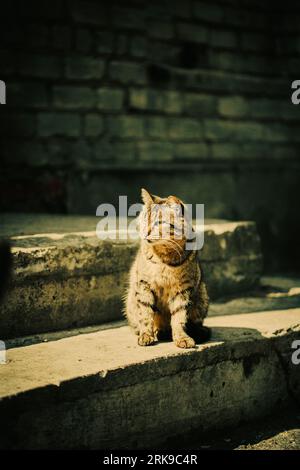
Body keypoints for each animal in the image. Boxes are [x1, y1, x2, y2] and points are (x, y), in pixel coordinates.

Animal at [124, 189, 209, 346]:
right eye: (144, 219)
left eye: (158, 223)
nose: (145, 232)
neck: (164, 257)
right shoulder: (143, 284)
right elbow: (145, 314)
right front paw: (146, 335)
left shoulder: (183, 288)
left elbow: (179, 317)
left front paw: (181, 337)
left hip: (202, 297)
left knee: (195, 324)